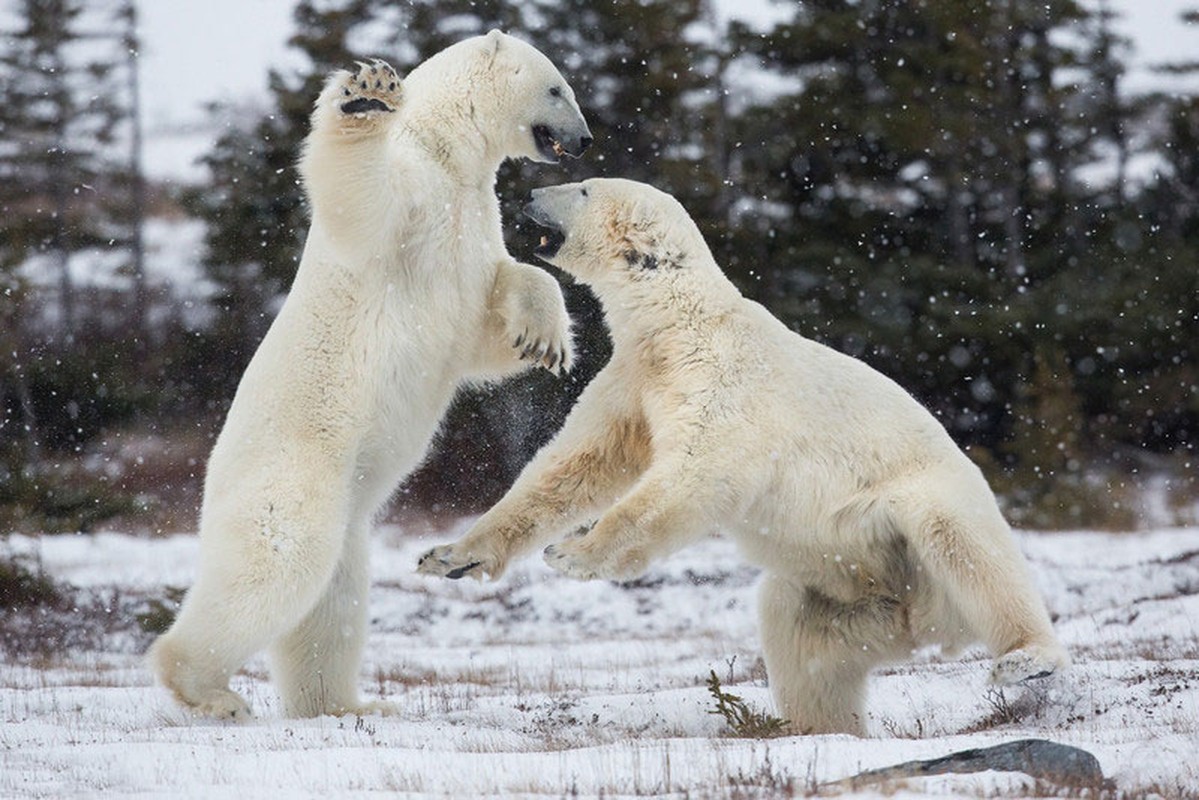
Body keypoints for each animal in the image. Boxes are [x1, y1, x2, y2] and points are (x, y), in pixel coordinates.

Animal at [149, 31, 589, 724]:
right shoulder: (413, 194)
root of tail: (210, 477)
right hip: (294, 475)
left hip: (350, 518)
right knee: (275, 564)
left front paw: (544, 339)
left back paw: (344, 704)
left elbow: (489, 316)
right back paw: (210, 691)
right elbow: (363, 203)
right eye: (557, 88)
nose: (585, 139)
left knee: (332, 602)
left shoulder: (472, 216)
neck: (449, 151)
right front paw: (367, 96)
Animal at [419, 179, 1069, 738]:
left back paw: (1027, 659)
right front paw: (450, 555)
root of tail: (927, 625)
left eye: (582, 189)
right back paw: (815, 729)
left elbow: (695, 470)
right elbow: (577, 463)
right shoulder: (635, 377)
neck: (678, 324)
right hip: (848, 595)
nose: (529, 191)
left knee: (968, 547)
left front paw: (573, 553)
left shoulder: (723, 380)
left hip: (924, 509)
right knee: (801, 639)